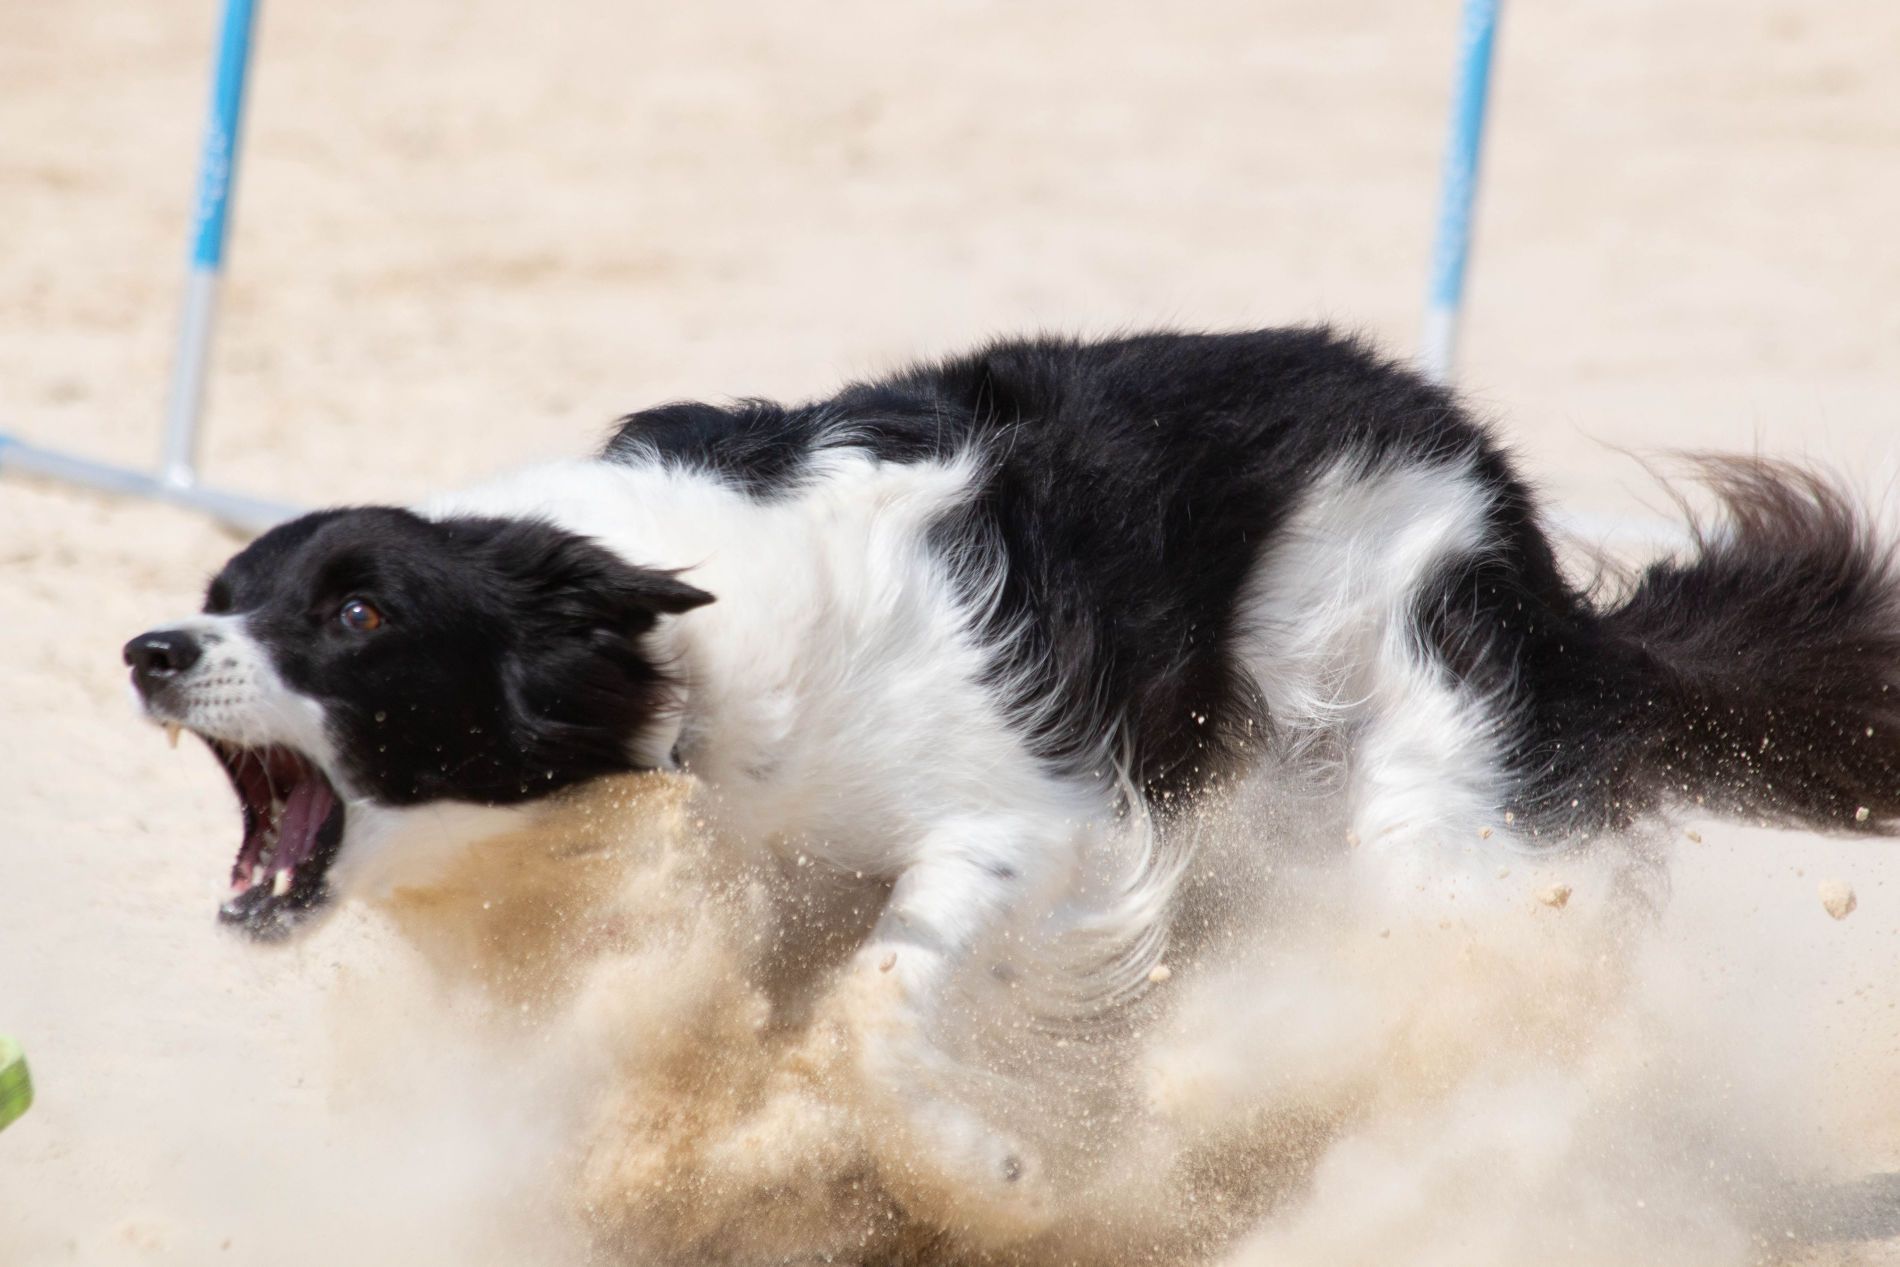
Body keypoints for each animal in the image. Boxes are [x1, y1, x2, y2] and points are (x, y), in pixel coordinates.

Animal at [126, 326, 1892, 1192]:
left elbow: (880, 998)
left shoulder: (1037, 821)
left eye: (358, 609)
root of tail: (1500, 495)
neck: (673, 648)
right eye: (226, 591)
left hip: (1419, 786)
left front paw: (992, 1166)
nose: (150, 648)